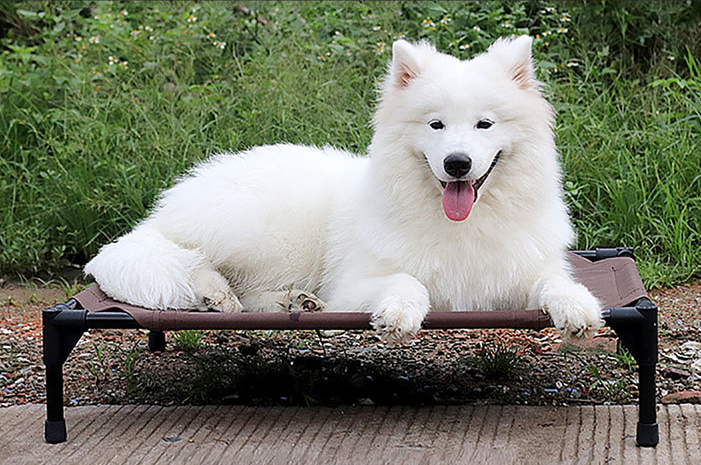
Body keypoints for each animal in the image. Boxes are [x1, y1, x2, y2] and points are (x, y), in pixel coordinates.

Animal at [86, 38, 600, 344]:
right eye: (435, 124)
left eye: (484, 124)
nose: (458, 163)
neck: (461, 224)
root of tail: (164, 208)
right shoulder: (353, 287)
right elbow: (406, 280)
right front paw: (399, 312)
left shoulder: (519, 274)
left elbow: (554, 282)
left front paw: (578, 307)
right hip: (266, 232)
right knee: (194, 262)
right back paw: (216, 295)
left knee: (248, 291)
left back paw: (297, 303)